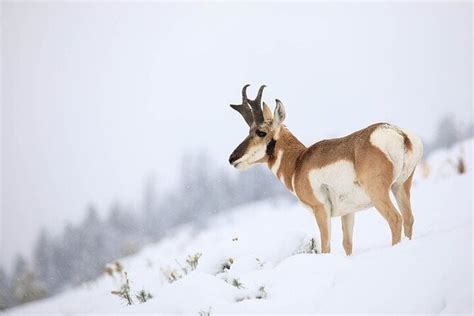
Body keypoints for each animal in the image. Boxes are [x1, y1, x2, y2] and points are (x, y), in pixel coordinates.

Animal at [228, 85, 424, 256]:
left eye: (260, 132)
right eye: (249, 131)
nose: (232, 158)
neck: (298, 162)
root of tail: (398, 133)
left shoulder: (320, 210)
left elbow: (325, 247)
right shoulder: (348, 212)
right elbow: (347, 244)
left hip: (378, 194)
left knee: (395, 220)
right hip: (400, 187)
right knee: (408, 218)